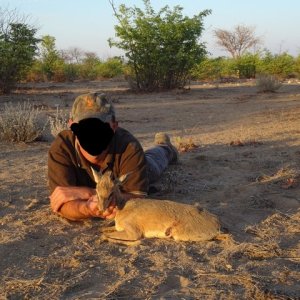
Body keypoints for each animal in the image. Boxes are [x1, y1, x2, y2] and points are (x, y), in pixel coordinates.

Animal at [92, 169, 221, 244]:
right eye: (96, 190)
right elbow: (102, 230)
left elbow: (105, 235)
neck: (123, 207)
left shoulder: (134, 233)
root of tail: (217, 223)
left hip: (179, 235)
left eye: (111, 192)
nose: (101, 209)